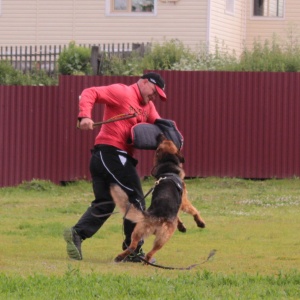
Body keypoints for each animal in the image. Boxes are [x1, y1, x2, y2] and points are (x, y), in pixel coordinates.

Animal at [110, 134, 206, 262]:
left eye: (163, 140)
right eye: (167, 140)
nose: (159, 134)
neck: (168, 168)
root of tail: (155, 217)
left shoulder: (176, 209)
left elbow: (178, 216)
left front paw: (181, 225)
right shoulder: (184, 201)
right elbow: (194, 210)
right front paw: (200, 222)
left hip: (138, 231)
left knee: (132, 246)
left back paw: (120, 256)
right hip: (164, 237)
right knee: (151, 252)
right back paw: (147, 261)